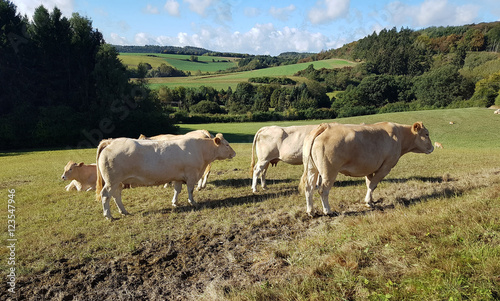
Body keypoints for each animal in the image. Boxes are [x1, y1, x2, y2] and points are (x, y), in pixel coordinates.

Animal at [96, 134, 236, 218]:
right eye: (227, 144)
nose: (234, 153)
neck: (201, 150)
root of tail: (111, 142)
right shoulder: (191, 175)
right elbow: (190, 190)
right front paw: (192, 202)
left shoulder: (178, 177)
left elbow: (177, 190)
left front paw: (175, 202)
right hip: (111, 181)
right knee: (106, 195)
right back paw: (108, 215)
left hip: (118, 182)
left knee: (116, 195)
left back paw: (123, 211)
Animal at [300, 122, 434, 216]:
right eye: (426, 134)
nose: (432, 148)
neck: (400, 136)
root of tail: (325, 126)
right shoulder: (386, 166)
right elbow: (373, 184)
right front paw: (368, 202)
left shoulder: (369, 167)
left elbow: (369, 183)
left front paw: (371, 200)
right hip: (329, 171)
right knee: (323, 190)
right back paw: (328, 211)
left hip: (312, 169)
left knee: (309, 188)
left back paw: (311, 211)